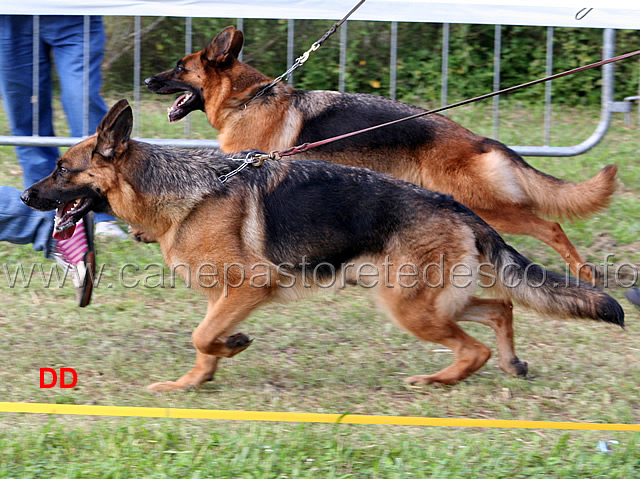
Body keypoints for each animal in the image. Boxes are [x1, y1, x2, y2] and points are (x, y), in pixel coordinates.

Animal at [22, 100, 624, 390]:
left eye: (62, 169)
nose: (26, 194)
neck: (177, 190)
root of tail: (458, 208)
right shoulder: (222, 297)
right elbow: (205, 339)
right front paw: (198, 378)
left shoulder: (249, 286)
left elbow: (201, 335)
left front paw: (219, 354)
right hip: (426, 299)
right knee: (500, 307)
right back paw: (509, 363)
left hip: (408, 306)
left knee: (472, 344)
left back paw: (436, 379)